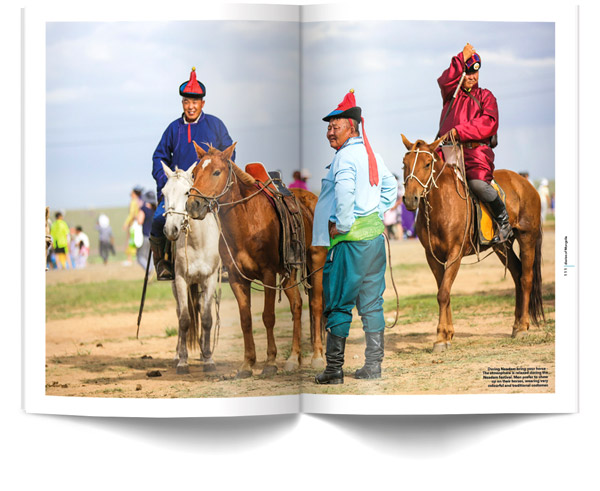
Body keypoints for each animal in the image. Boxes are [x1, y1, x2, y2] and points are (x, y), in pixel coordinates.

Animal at [161, 163, 221, 374]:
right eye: (163, 193)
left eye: (187, 192)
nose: (170, 230)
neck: (196, 241)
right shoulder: (180, 279)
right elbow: (185, 319)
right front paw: (183, 361)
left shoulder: (209, 279)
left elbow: (207, 318)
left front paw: (209, 359)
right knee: (179, 312)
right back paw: (177, 354)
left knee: (201, 309)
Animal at [188, 140, 328, 378]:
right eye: (194, 173)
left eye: (216, 172)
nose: (193, 205)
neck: (245, 221)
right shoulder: (237, 279)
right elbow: (245, 320)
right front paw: (247, 364)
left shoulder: (268, 274)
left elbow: (268, 317)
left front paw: (270, 362)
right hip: (289, 273)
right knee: (297, 305)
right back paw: (294, 358)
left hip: (316, 261)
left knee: (316, 304)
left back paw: (317, 356)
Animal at [400, 135, 548, 354]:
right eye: (405, 163)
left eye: (427, 164)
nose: (410, 199)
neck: (443, 204)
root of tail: (525, 184)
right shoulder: (432, 257)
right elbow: (443, 291)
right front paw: (447, 334)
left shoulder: (455, 254)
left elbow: (443, 293)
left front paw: (441, 338)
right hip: (502, 246)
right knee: (517, 275)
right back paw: (515, 325)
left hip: (527, 238)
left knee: (526, 279)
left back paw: (522, 326)